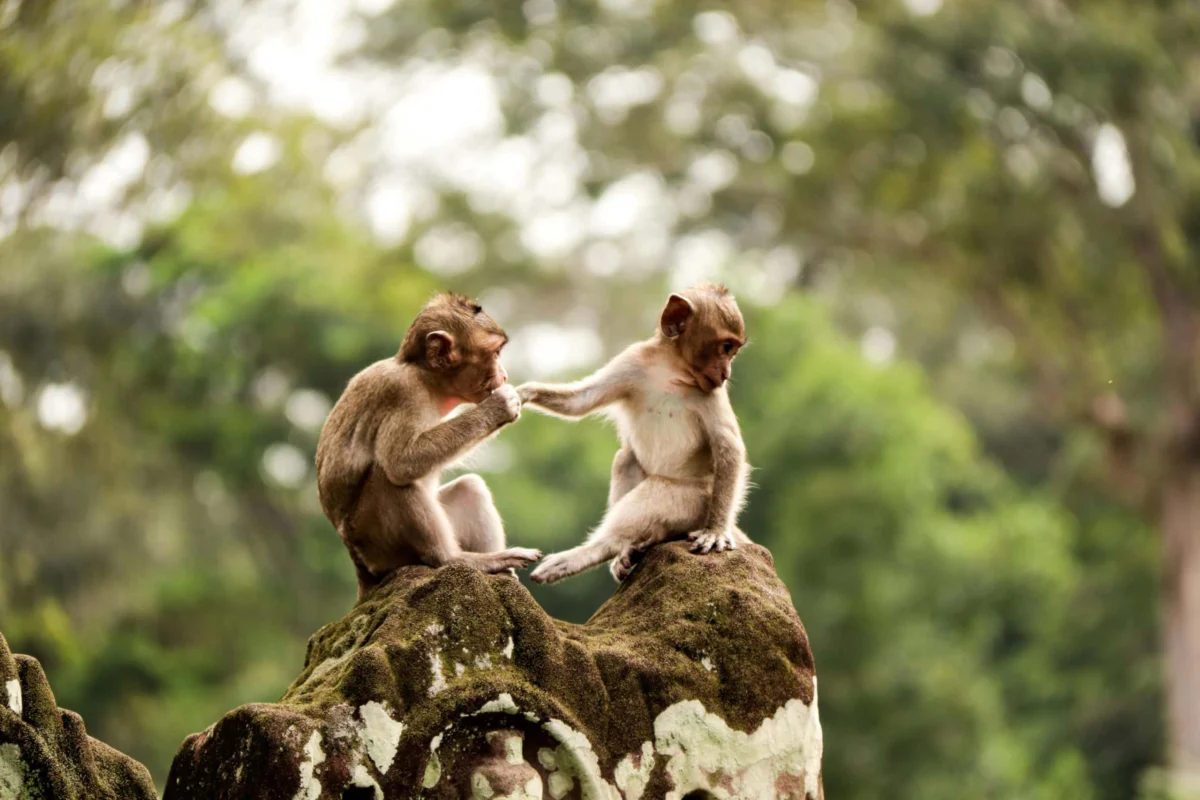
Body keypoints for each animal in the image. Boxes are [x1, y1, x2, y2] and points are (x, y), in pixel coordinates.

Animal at [315, 293, 540, 600]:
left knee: (470, 487)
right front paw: (500, 406)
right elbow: (402, 461)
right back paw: (452, 559)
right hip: (378, 545)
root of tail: (361, 571)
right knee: (389, 476)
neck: (426, 379)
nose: (504, 375)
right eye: (495, 353)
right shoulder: (403, 393)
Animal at [517, 282, 750, 585]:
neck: (672, 369)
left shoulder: (711, 392)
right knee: (625, 458)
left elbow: (729, 448)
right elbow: (580, 401)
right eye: (725, 347)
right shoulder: (633, 360)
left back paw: (594, 551)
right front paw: (524, 392)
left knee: (658, 491)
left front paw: (716, 531)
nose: (726, 372)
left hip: (696, 503)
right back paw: (628, 551)